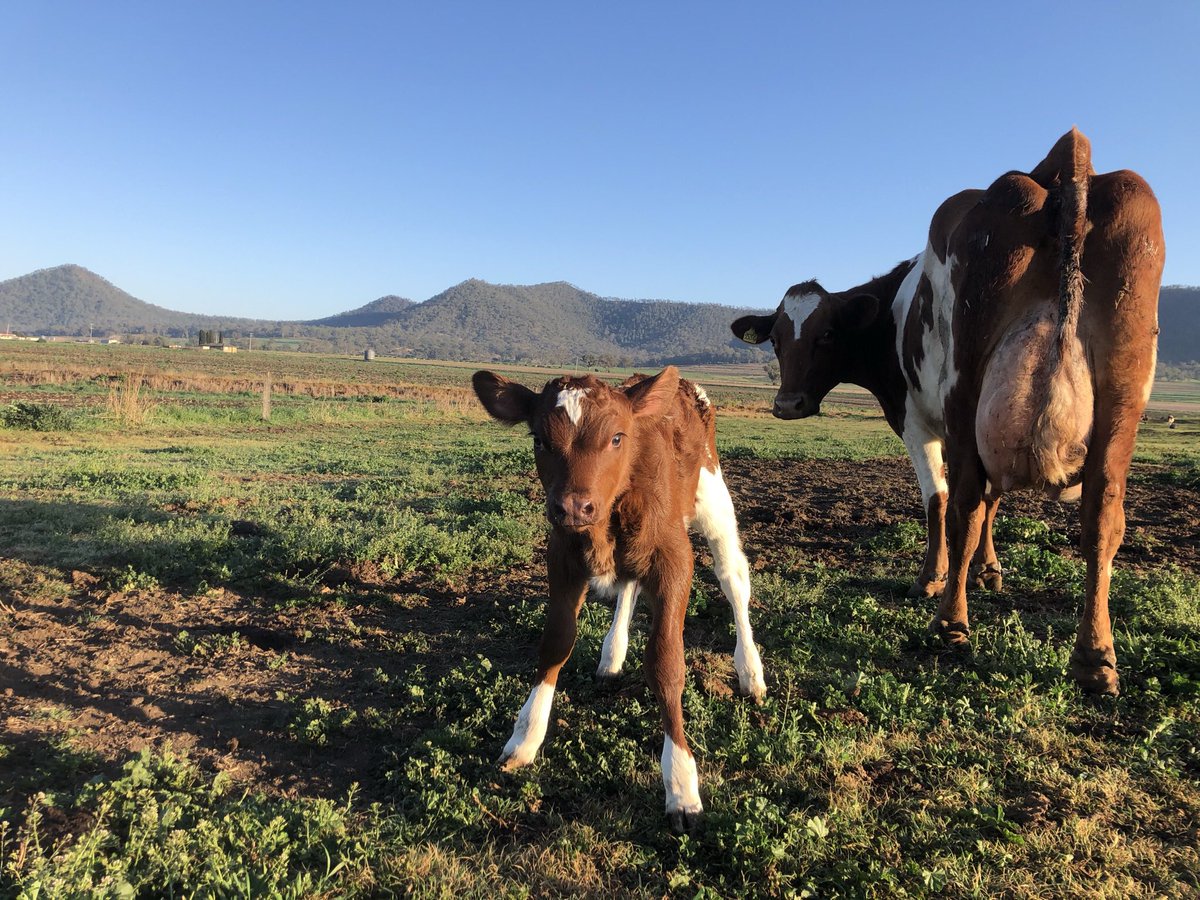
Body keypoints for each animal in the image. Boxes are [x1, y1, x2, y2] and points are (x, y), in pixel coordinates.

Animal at [472, 366, 766, 830]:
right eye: (539, 439)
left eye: (616, 438)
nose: (574, 507)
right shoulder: (562, 554)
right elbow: (555, 642)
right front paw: (525, 736)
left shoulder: (674, 556)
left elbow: (666, 663)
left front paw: (681, 783)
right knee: (629, 586)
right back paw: (612, 655)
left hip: (714, 499)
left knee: (734, 580)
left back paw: (751, 672)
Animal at [732, 128, 1163, 695]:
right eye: (777, 340)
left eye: (825, 335)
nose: (787, 405)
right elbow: (995, 500)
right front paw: (988, 569)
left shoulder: (916, 421)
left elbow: (940, 501)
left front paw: (932, 577)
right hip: (1121, 400)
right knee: (1101, 517)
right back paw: (1094, 657)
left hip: (967, 393)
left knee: (963, 505)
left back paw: (950, 624)